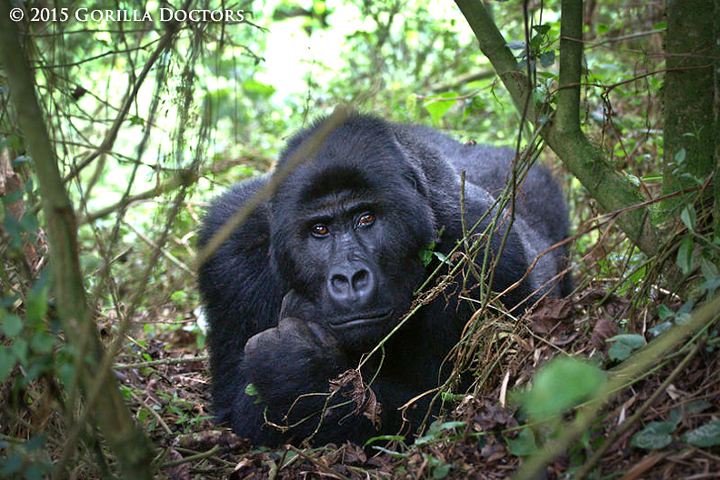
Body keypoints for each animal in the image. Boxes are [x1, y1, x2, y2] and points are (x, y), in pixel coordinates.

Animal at [195, 113, 568, 446]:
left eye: (366, 219)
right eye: (320, 229)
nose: (349, 278)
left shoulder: (486, 245)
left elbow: (459, 406)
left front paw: (296, 366)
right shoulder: (229, 242)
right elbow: (236, 410)